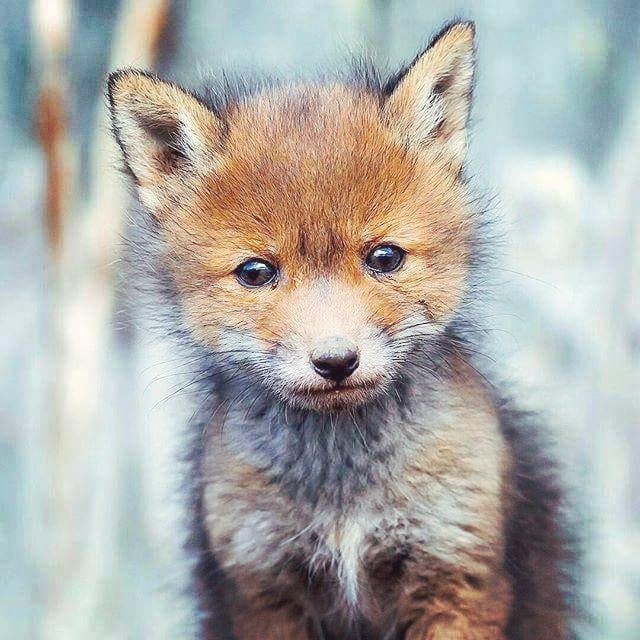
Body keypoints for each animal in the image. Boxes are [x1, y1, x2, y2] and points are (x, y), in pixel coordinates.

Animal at [108, 20, 578, 640]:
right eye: (255, 273)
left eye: (384, 258)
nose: (335, 361)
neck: (344, 495)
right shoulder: (264, 585)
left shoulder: (453, 571)